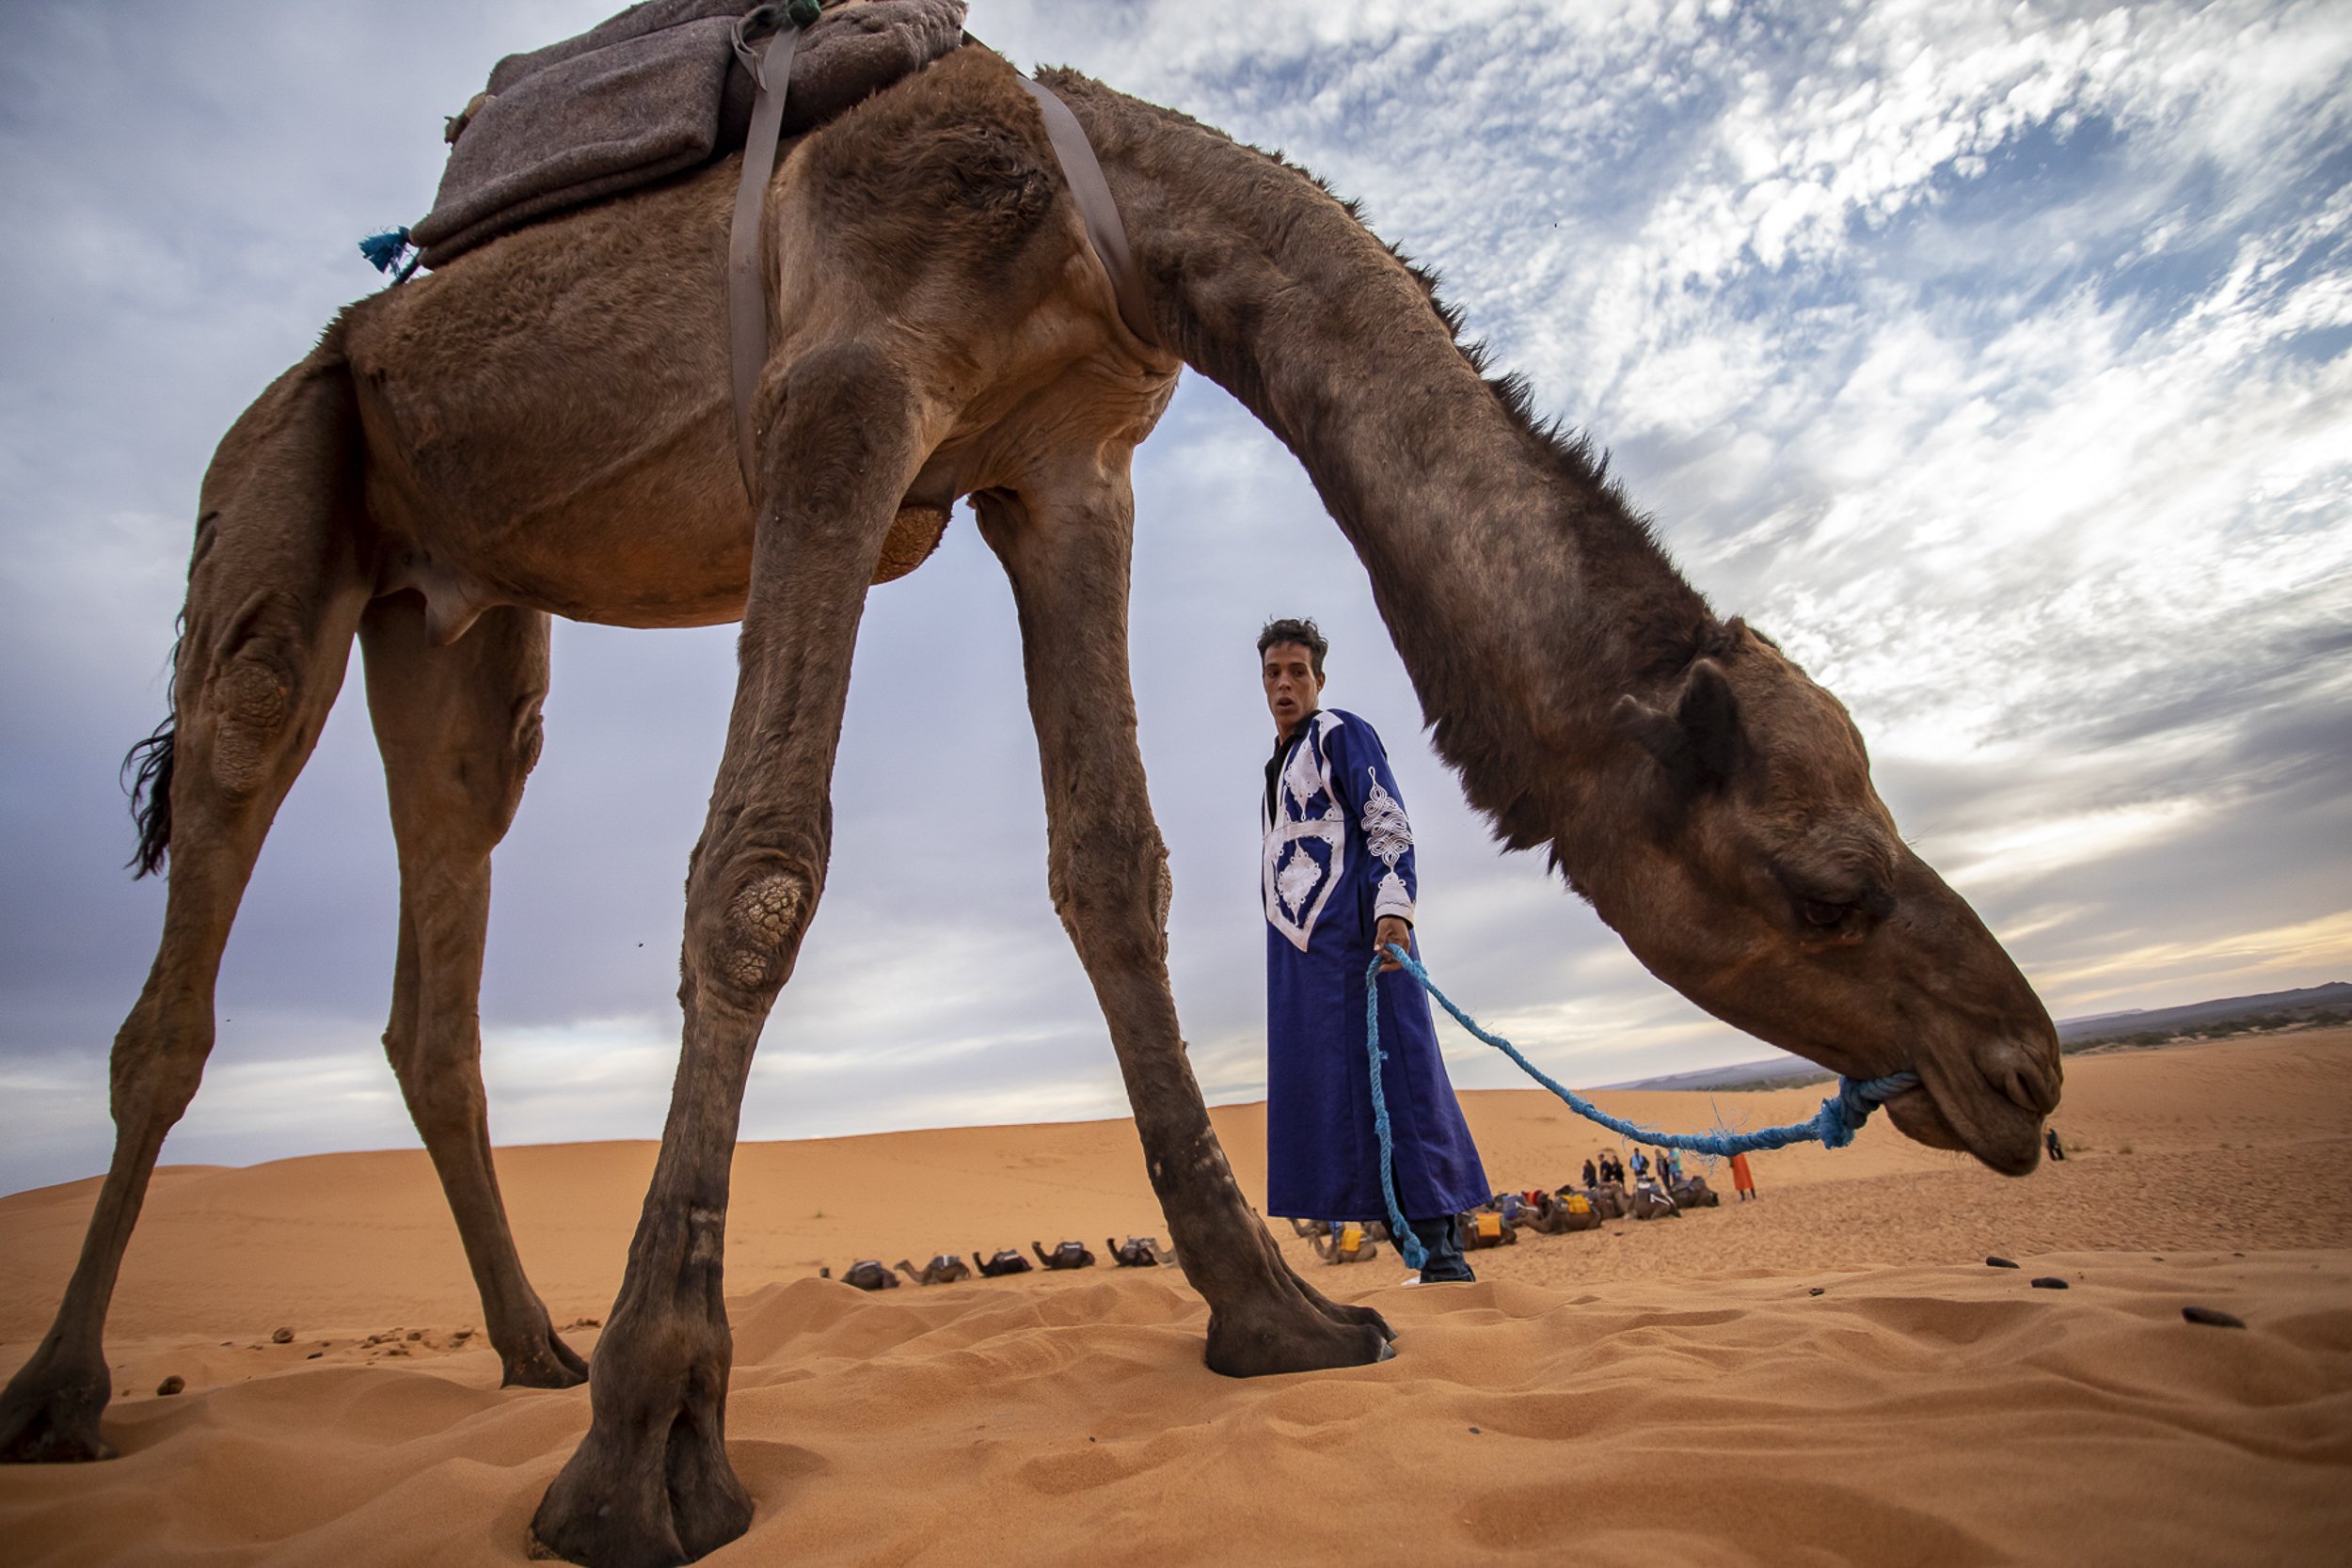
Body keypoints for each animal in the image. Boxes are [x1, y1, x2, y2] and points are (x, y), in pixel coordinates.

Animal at [0, 37, 2060, 1568]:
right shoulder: (842, 392)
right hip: (285, 480)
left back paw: (528, 1350)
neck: (1099, 207)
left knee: (444, 925)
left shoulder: (1067, 464)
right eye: (1823, 882)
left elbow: (1114, 866)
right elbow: (759, 862)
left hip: (463, 616)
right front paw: (649, 1457)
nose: (2024, 1065)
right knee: (210, 860)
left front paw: (1281, 1316)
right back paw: (67, 1396)